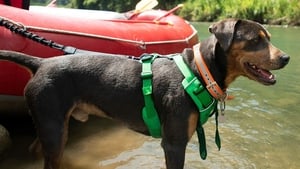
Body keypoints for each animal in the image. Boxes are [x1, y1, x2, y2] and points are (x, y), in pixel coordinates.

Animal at [0, 18, 290, 169]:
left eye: (268, 37)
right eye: (255, 40)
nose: (286, 58)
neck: (200, 70)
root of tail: (40, 63)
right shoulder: (174, 143)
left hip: (52, 128)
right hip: (53, 127)